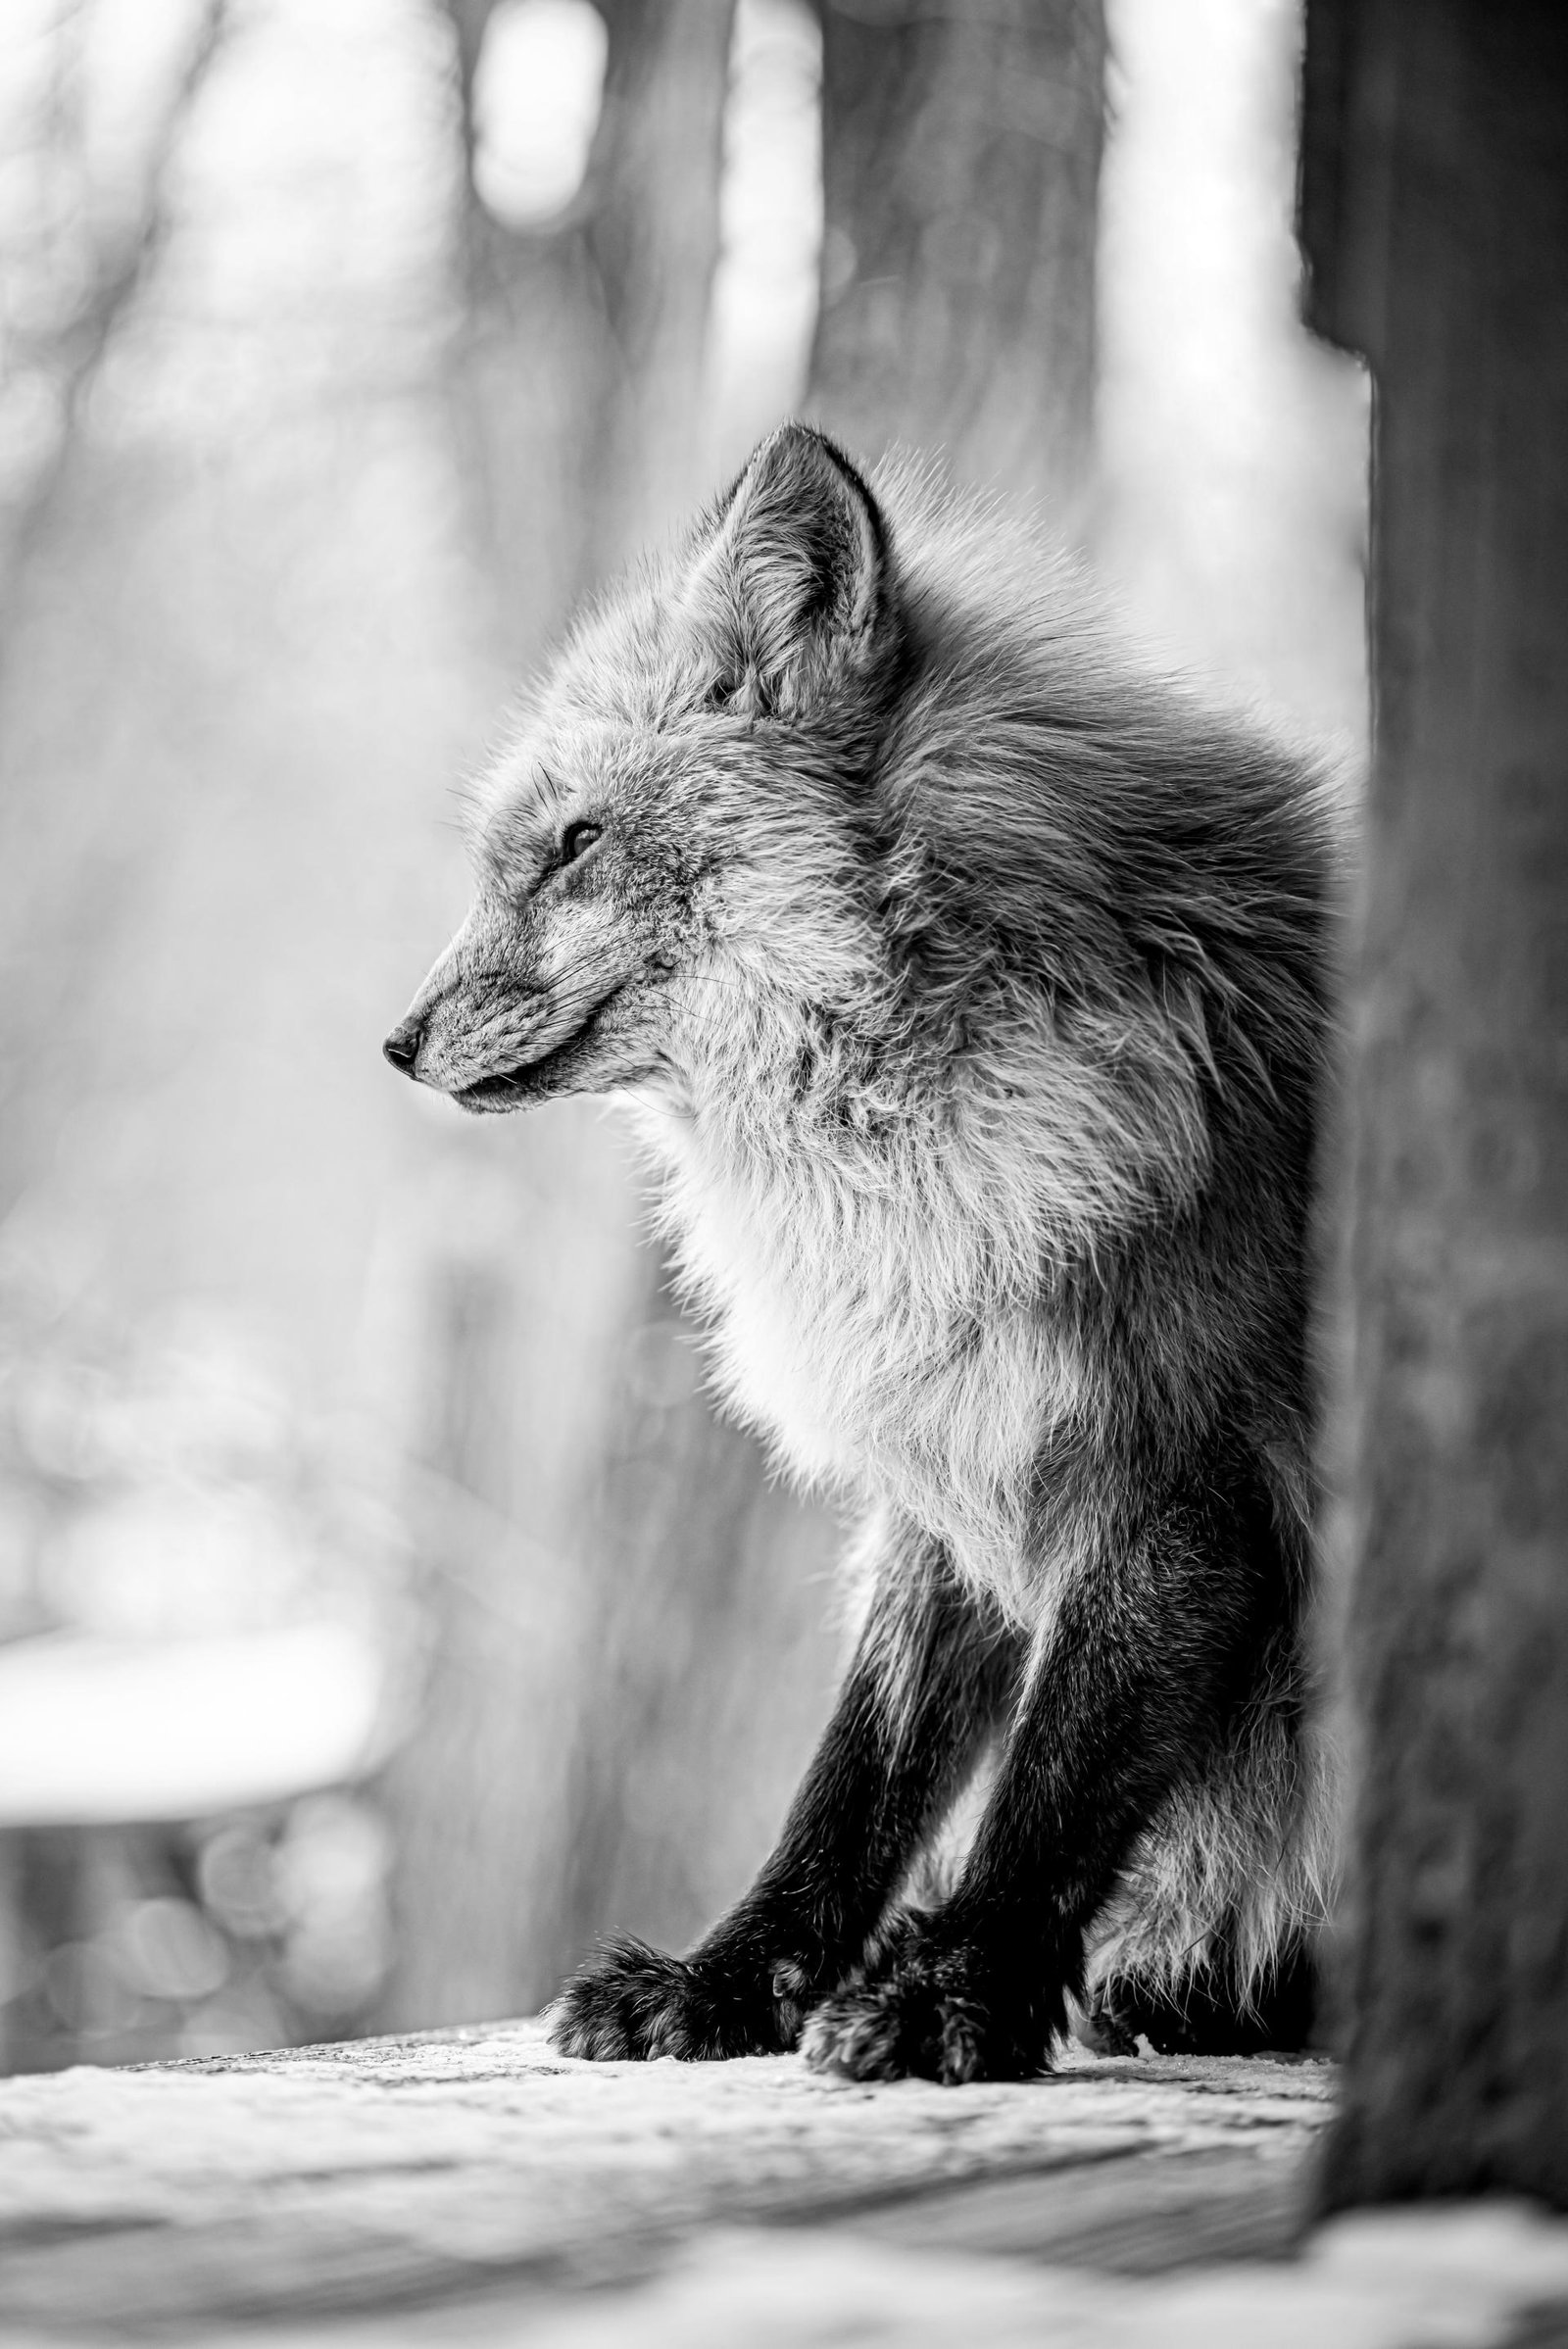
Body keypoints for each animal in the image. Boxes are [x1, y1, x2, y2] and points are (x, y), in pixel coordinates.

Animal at [384, 422, 1342, 2081]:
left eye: (575, 847)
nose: (395, 1040)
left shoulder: (1177, 1474)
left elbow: (1050, 1792)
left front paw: (955, 1991)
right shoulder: (946, 1469)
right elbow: (855, 1783)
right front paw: (729, 1981)